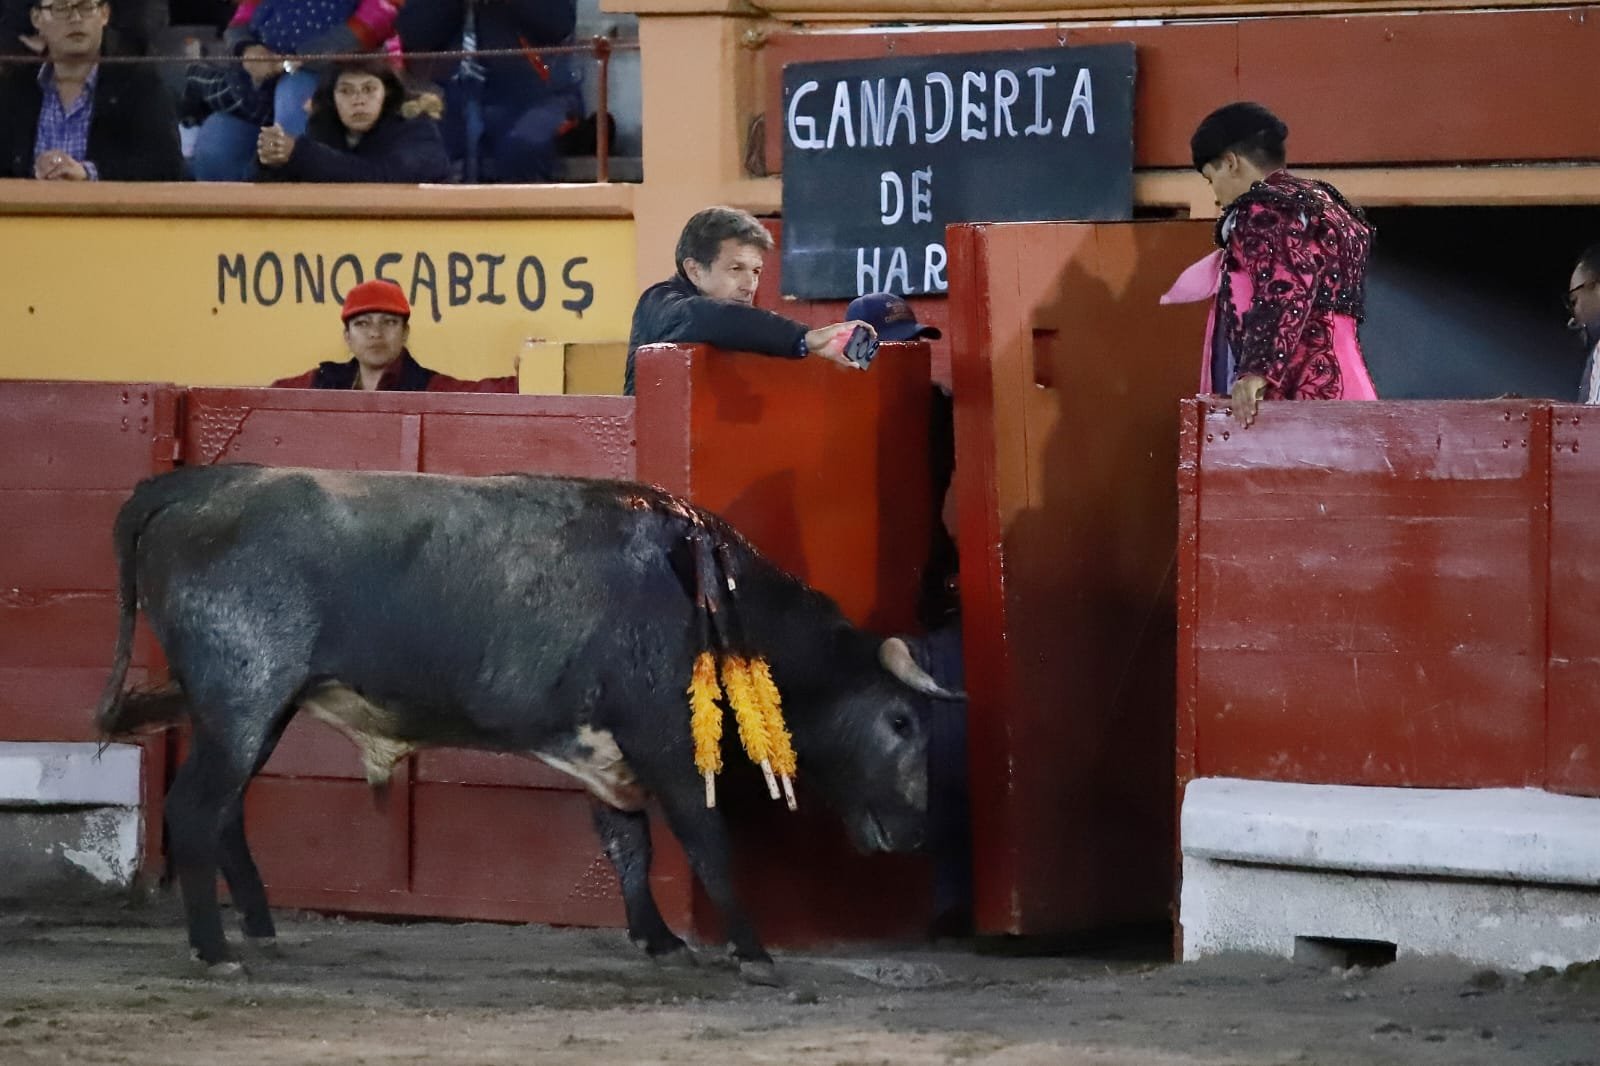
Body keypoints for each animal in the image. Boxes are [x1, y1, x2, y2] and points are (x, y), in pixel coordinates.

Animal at [95, 465, 955, 985]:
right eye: (901, 720)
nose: (918, 833)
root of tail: (193, 482)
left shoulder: (609, 751)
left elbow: (627, 843)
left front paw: (658, 939)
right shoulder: (665, 741)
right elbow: (704, 840)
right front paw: (752, 952)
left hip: (256, 711)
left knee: (224, 812)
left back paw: (260, 931)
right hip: (243, 697)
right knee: (194, 809)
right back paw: (214, 952)